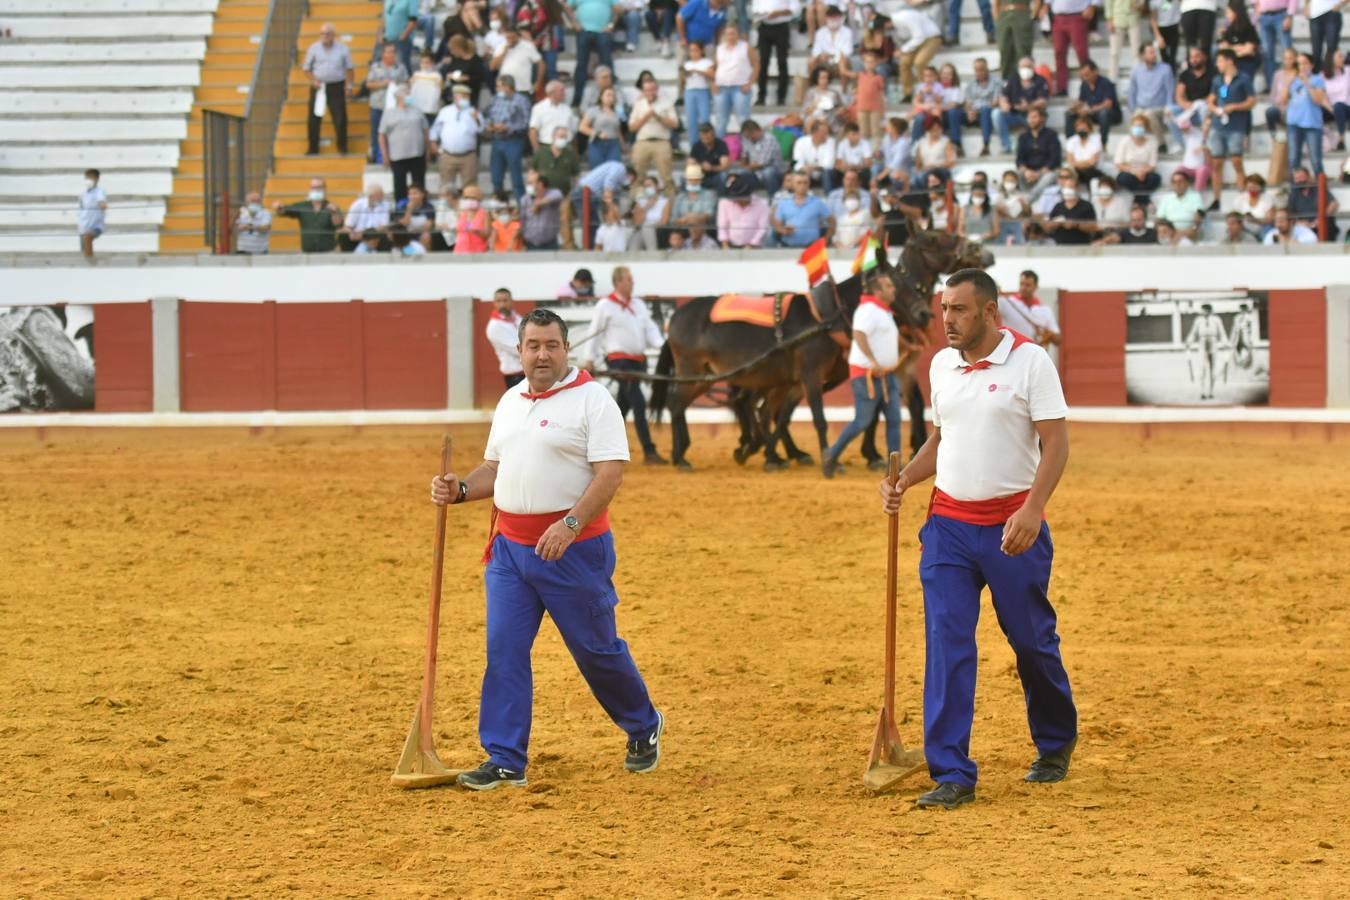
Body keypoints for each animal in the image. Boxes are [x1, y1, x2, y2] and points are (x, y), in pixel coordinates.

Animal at [648, 225, 988, 472]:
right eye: (934, 238)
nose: (923, 314)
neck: (829, 317)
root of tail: (676, 316)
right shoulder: (813, 374)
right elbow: (823, 417)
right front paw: (838, 457)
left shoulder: (815, 377)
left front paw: (777, 454)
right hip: (696, 372)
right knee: (679, 404)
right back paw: (683, 455)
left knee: (751, 409)